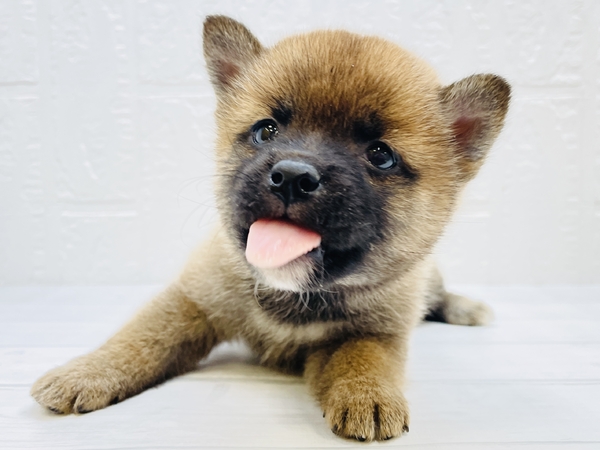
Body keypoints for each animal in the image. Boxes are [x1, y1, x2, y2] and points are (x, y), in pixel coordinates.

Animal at [31, 15, 510, 442]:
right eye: (267, 130)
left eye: (380, 155)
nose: (293, 176)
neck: (293, 295)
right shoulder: (192, 300)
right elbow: (141, 336)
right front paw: (87, 372)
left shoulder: (376, 330)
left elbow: (364, 357)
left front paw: (369, 395)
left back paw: (465, 308)